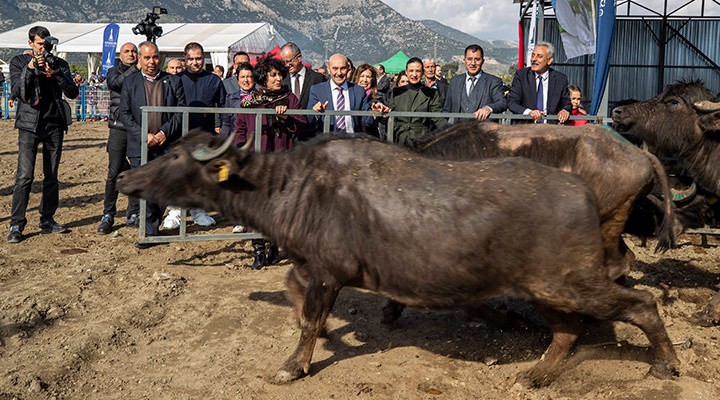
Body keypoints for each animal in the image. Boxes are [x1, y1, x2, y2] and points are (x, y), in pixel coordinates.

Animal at [116, 130, 680, 388]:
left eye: (175, 156)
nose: (123, 177)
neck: (293, 186)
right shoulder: (313, 269)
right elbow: (294, 296)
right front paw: (328, 333)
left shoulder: (327, 273)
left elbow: (308, 317)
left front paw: (294, 365)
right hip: (549, 287)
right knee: (568, 329)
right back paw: (536, 375)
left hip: (567, 281)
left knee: (639, 303)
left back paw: (665, 363)